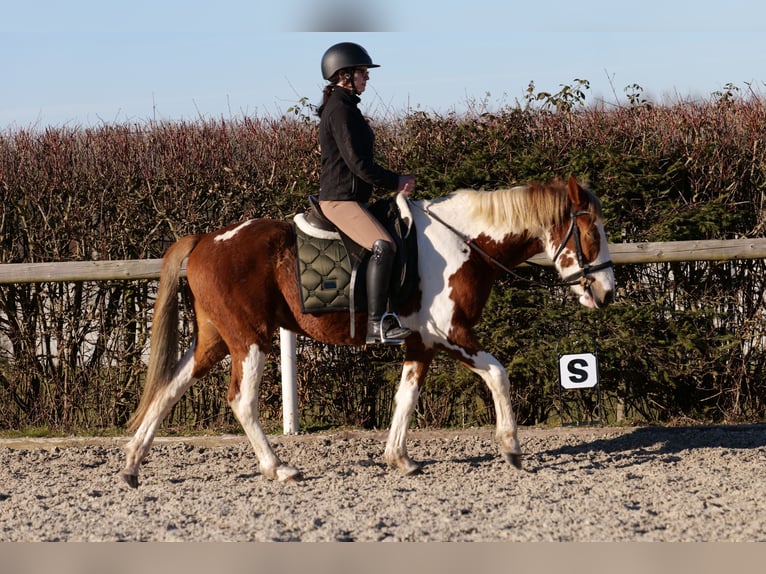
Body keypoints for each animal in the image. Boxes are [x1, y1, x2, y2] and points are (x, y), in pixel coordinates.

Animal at [120, 173, 616, 488]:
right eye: (593, 234)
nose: (607, 292)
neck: (464, 243)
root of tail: (206, 239)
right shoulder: (451, 333)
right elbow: (498, 372)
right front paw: (511, 448)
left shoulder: (421, 342)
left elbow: (406, 397)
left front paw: (400, 458)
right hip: (248, 339)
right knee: (241, 401)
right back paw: (279, 468)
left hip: (215, 340)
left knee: (170, 387)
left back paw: (132, 465)